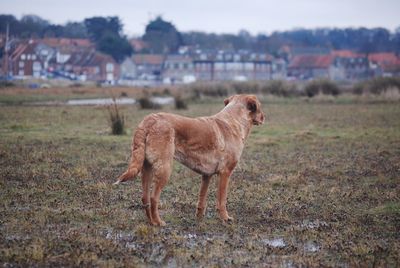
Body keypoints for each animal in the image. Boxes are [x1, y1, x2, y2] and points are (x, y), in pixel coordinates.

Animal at [114, 95, 266, 225]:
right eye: (259, 107)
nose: (264, 118)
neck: (233, 121)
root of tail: (148, 120)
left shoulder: (206, 175)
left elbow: (201, 199)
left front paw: (199, 218)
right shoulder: (225, 173)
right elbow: (221, 200)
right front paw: (225, 218)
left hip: (147, 168)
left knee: (145, 197)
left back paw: (151, 222)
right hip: (164, 169)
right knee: (153, 198)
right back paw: (159, 222)